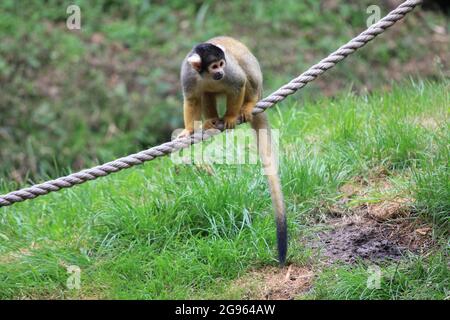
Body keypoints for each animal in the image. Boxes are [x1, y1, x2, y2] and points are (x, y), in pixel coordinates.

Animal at [178, 35, 286, 264]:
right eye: (214, 66)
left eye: (221, 64)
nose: (220, 72)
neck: (206, 75)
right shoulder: (188, 75)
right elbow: (191, 99)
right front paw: (189, 130)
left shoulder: (230, 72)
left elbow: (239, 83)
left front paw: (230, 117)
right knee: (206, 93)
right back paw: (211, 121)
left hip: (255, 81)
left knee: (245, 72)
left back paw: (247, 105)